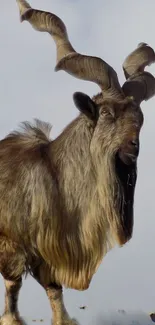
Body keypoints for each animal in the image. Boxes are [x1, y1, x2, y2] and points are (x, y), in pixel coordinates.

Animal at [0, 0, 155, 322]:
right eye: (106, 112)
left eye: (140, 117)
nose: (132, 147)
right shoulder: (11, 248)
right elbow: (12, 297)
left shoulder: (48, 262)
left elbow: (56, 298)